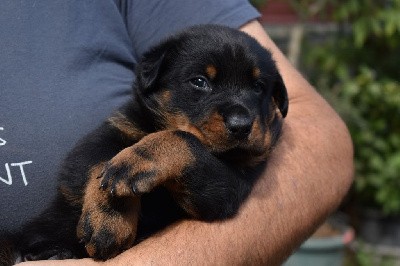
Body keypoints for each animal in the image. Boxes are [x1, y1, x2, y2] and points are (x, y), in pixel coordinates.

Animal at [0, 24, 288, 264]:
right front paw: (109, 220)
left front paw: (135, 162)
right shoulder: (107, 134)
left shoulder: (229, 187)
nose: (242, 125)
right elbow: (99, 163)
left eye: (259, 87)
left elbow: (181, 138)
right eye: (200, 82)